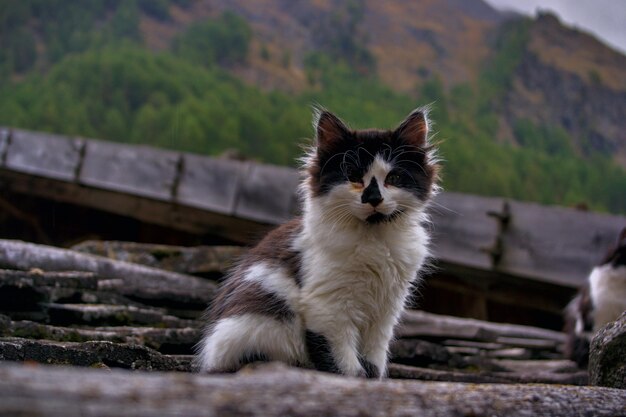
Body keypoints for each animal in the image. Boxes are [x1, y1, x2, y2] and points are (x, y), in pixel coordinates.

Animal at [195, 106, 438, 376]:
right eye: (353, 176)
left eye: (393, 178)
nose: (374, 198)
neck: (373, 238)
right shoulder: (328, 308)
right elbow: (344, 364)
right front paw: (352, 379)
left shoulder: (386, 312)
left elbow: (374, 359)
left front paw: (371, 379)